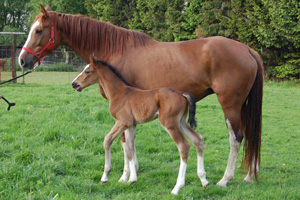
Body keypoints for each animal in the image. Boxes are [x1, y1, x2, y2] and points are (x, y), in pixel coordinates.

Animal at [72, 54, 210, 194]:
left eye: (87, 71)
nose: (74, 84)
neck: (119, 93)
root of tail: (181, 93)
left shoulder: (122, 122)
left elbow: (108, 140)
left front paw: (105, 177)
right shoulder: (130, 125)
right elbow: (129, 148)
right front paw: (132, 178)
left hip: (170, 123)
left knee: (183, 146)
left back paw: (177, 187)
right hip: (181, 121)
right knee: (198, 139)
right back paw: (204, 180)